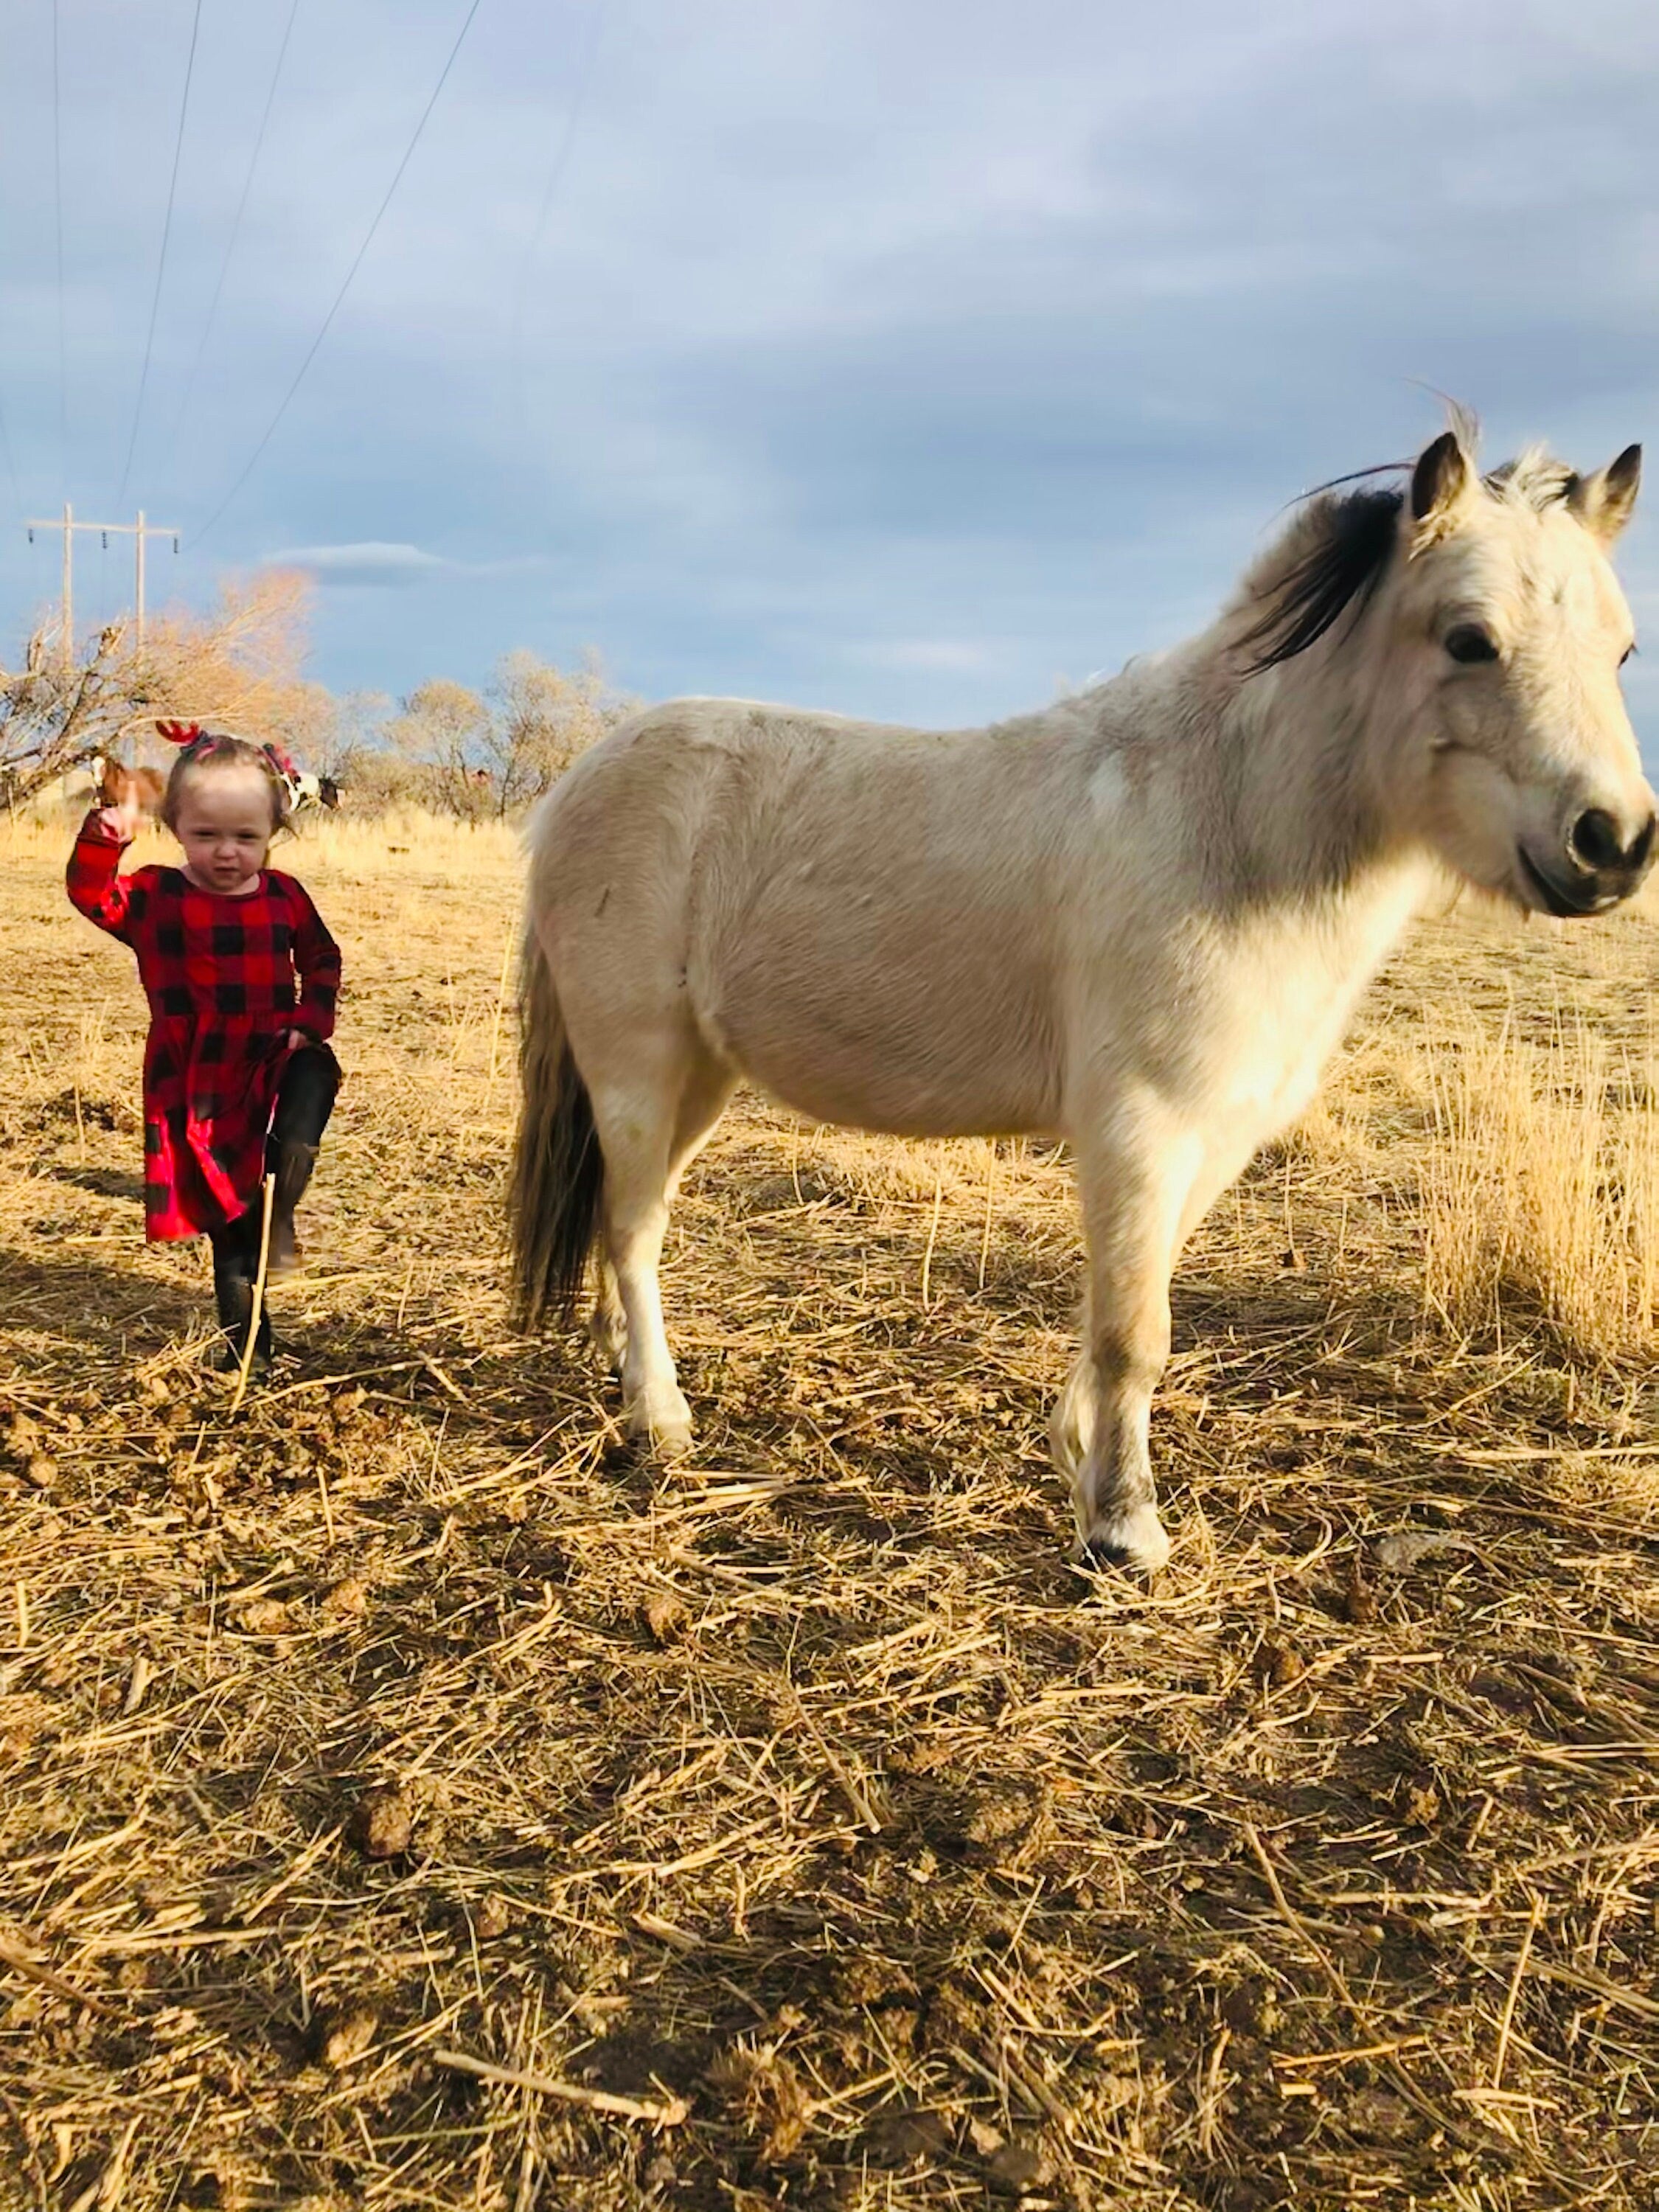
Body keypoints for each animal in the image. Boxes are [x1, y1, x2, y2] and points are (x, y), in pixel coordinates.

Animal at [509, 421, 1656, 1575]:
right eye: (1468, 639)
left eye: (1620, 650)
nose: (1611, 845)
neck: (1220, 821)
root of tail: (578, 782)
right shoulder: (1138, 1129)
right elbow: (1134, 1336)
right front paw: (1123, 1525)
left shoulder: (1213, 1136)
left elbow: (1127, 1318)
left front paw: (1080, 1459)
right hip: (637, 1064)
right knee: (635, 1229)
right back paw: (658, 1416)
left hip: (699, 1078)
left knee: (623, 1216)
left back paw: (613, 1362)